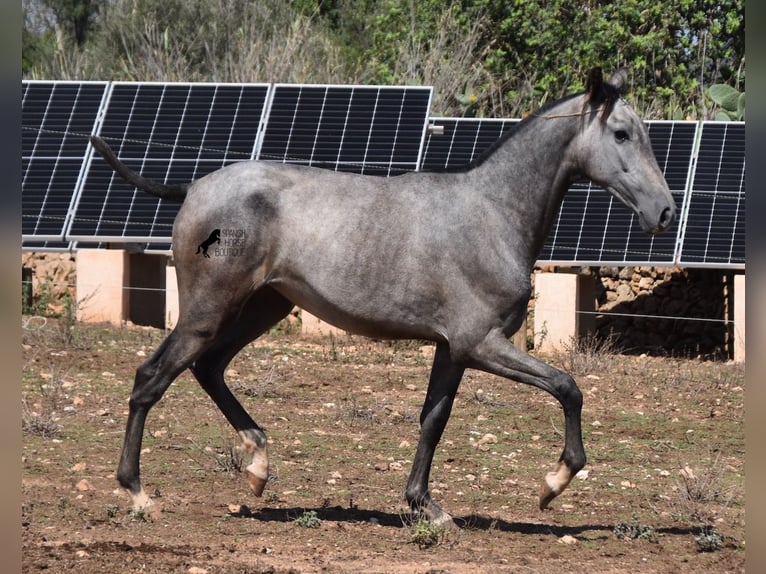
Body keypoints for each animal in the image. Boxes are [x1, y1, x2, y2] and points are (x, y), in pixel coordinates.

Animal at [91, 68, 680, 532]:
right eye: (622, 133)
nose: (666, 212)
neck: (492, 214)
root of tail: (193, 188)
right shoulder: (482, 343)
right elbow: (567, 387)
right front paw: (552, 484)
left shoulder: (453, 349)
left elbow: (433, 420)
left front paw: (427, 507)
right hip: (210, 309)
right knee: (152, 377)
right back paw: (139, 494)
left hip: (263, 306)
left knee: (209, 368)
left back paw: (257, 467)